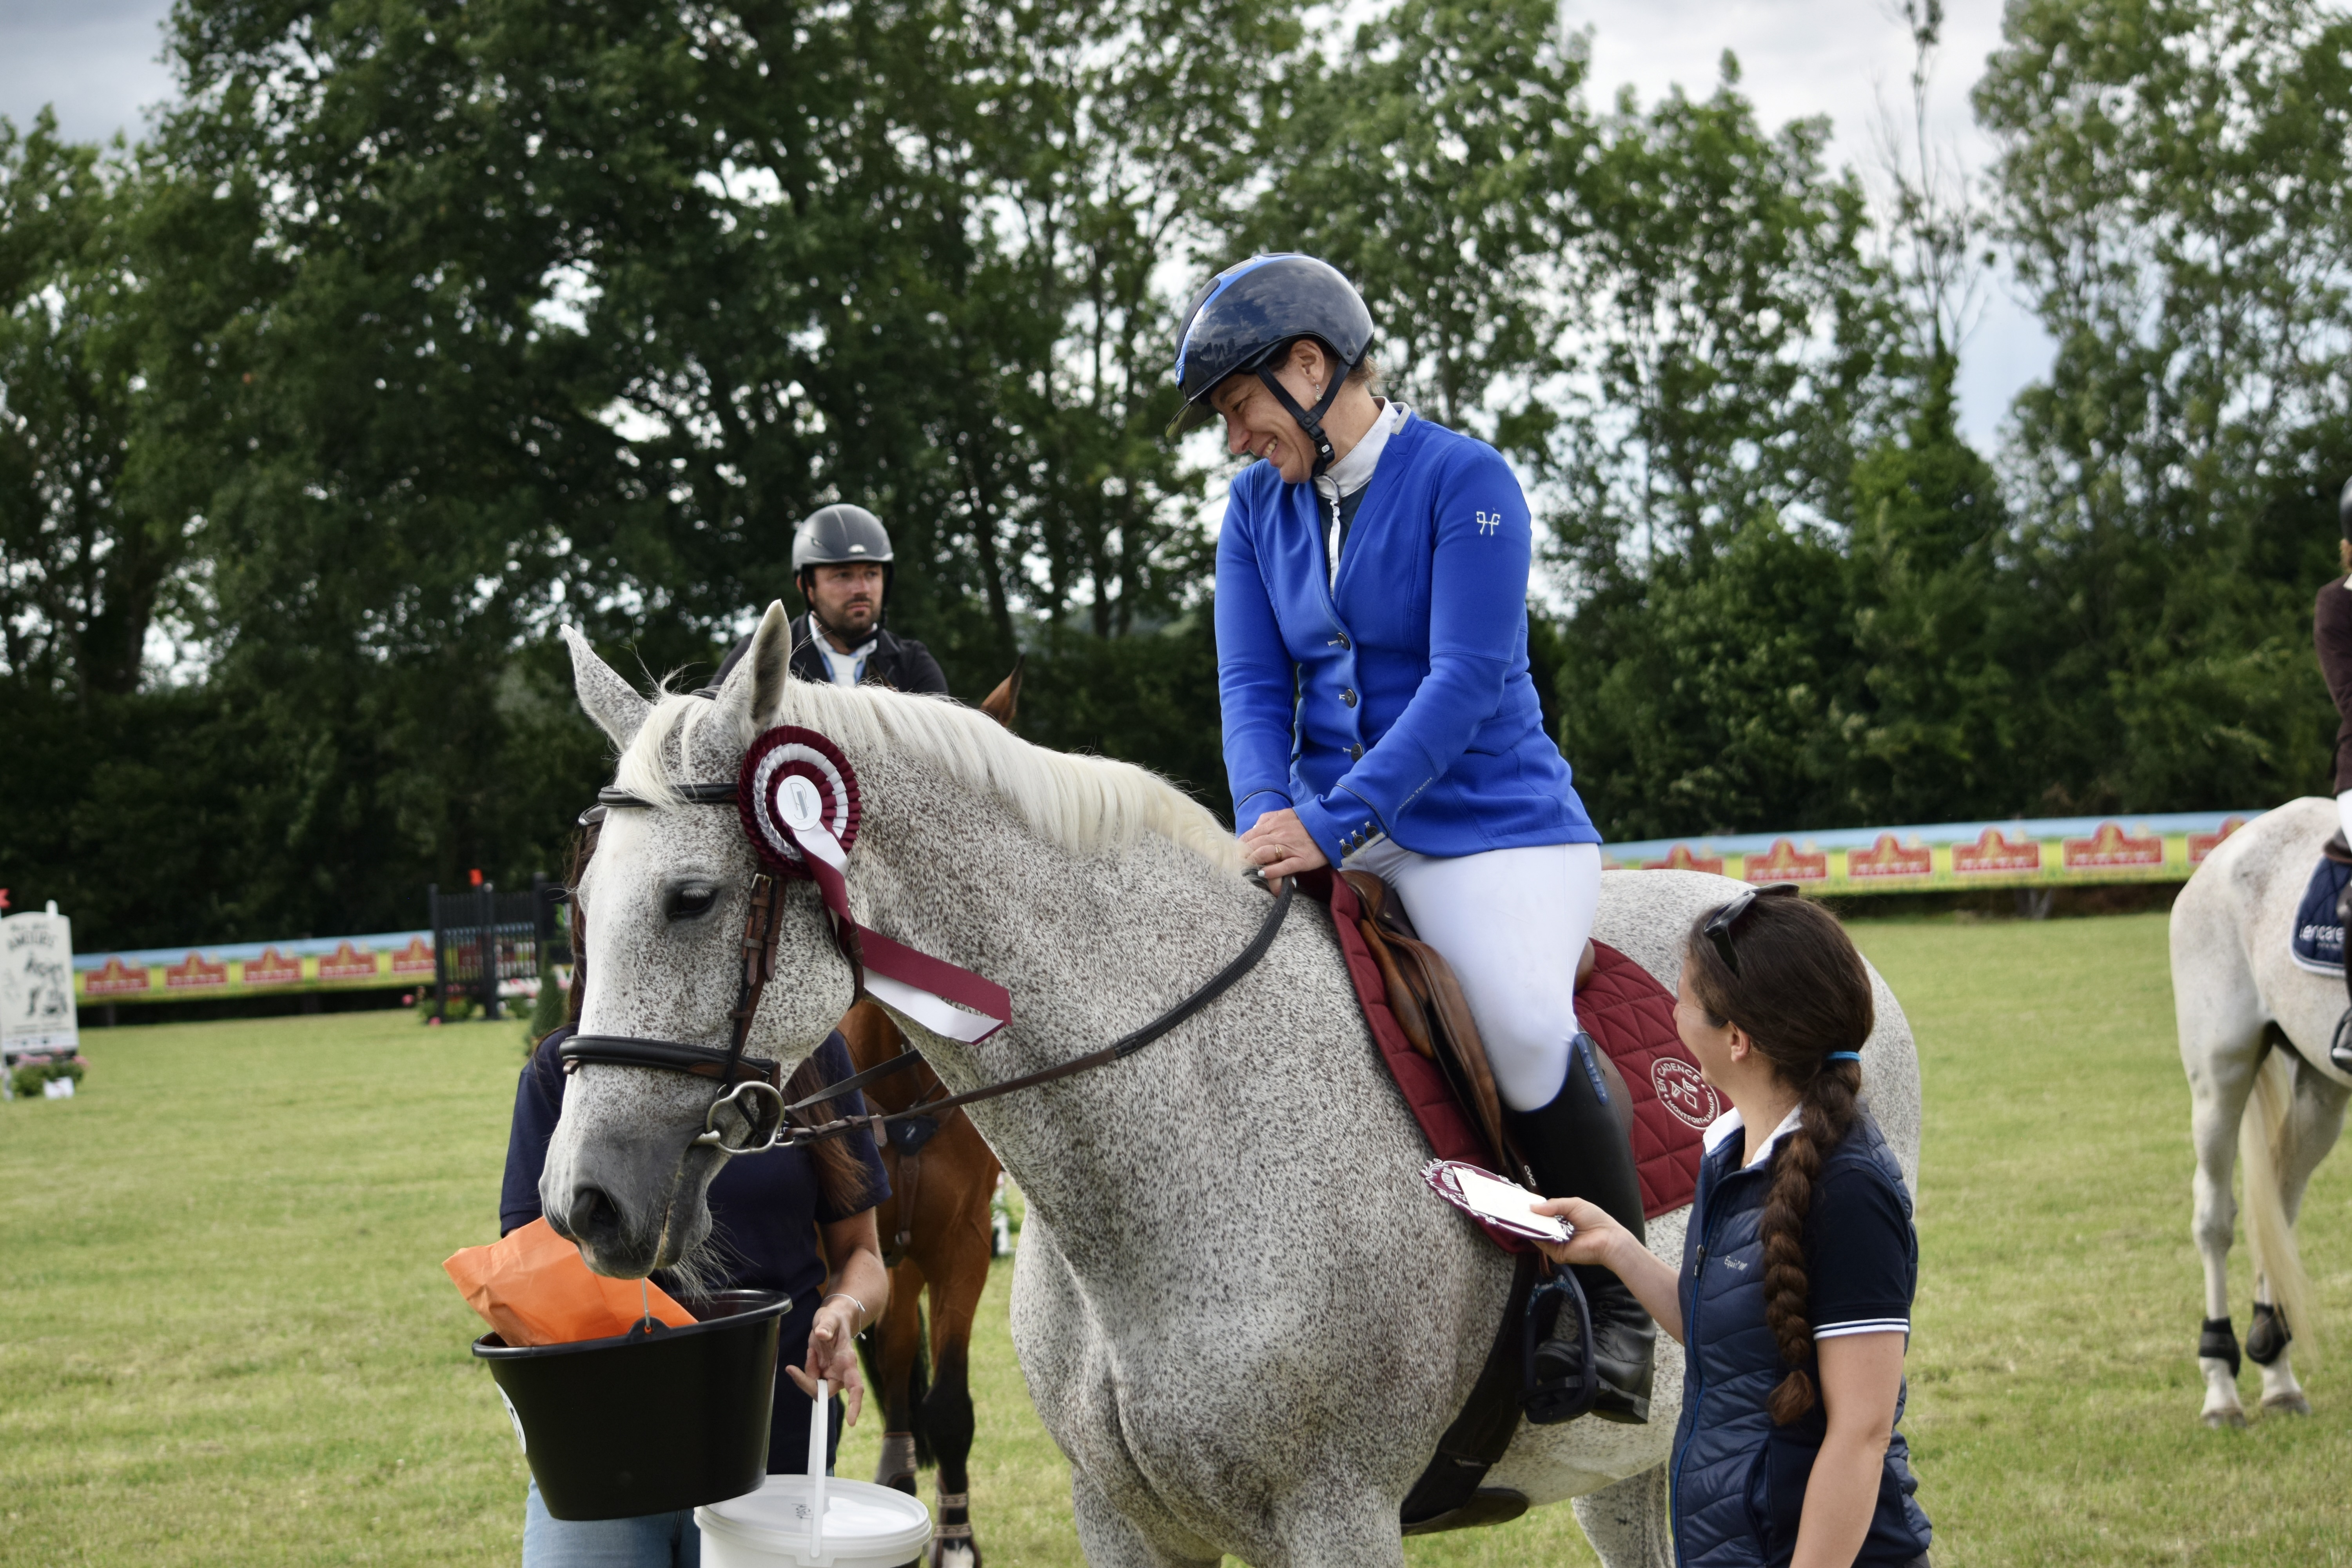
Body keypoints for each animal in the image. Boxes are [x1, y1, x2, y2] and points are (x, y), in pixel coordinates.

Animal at [543, 604, 1924, 1568]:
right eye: (581, 901)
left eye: (691, 899)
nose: (582, 1204)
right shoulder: (1125, 1520)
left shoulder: (1335, 1517)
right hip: (1633, 1469)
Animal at [2167, 796, 2351, 1426]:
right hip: (2219, 1079)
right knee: (2215, 1219)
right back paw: (2221, 1386)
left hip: (2321, 1092)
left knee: (2278, 1209)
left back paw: (2279, 1376)